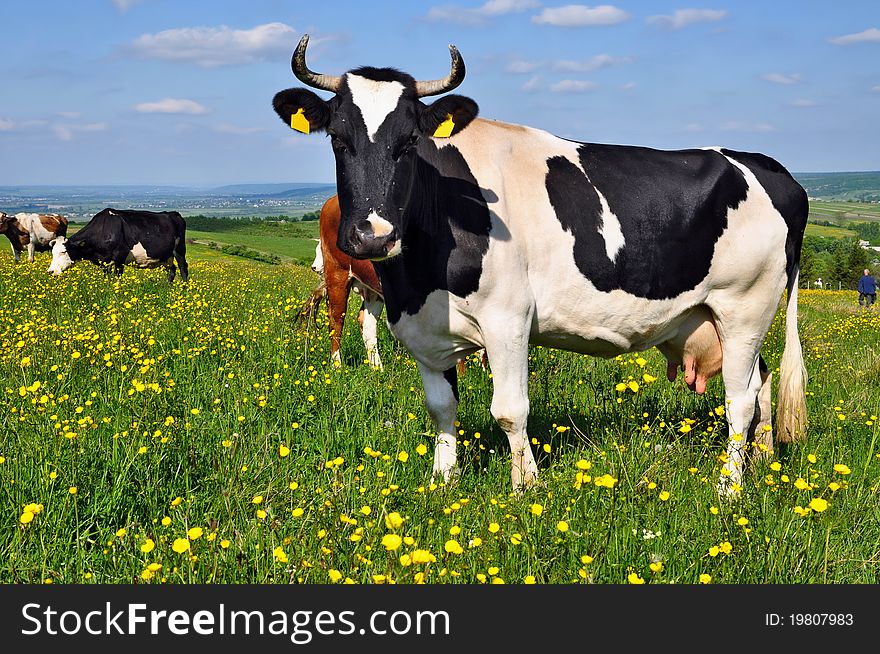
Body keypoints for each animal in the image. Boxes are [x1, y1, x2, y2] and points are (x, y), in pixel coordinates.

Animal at [48, 209, 189, 284]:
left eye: (63, 251)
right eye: (53, 253)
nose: (51, 271)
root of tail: (173, 213)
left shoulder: (120, 256)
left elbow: (117, 277)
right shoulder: (104, 262)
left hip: (180, 250)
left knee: (183, 268)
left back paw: (184, 288)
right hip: (166, 256)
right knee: (172, 270)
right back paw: (168, 287)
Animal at [272, 36, 808, 494]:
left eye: (409, 143)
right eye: (338, 139)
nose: (372, 235)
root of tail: (766, 166)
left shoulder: (507, 318)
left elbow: (510, 409)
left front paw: (524, 485)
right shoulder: (421, 324)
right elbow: (441, 407)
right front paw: (443, 482)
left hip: (745, 307)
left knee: (739, 400)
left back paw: (729, 487)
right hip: (720, 317)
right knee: (760, 387)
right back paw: (762, 464)